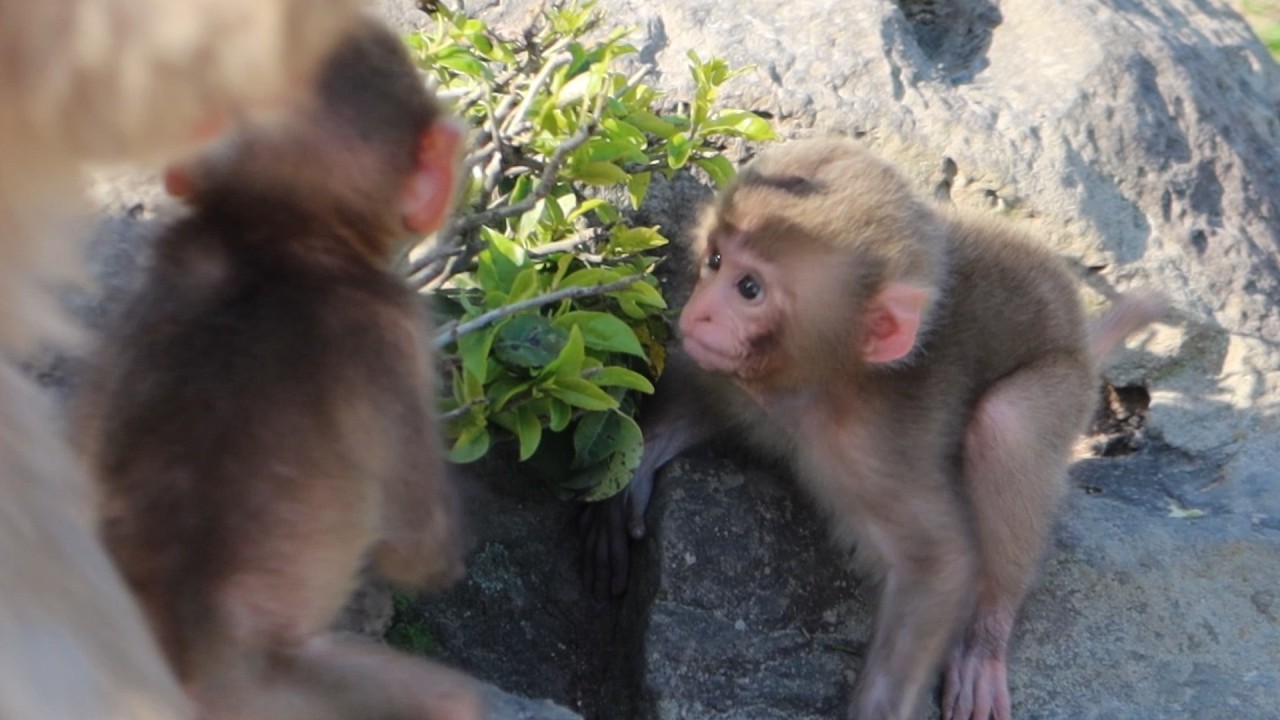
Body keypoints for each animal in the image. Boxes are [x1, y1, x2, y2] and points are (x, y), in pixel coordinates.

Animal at [581, 137, 1166, 720]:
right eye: (716, 260)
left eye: (749, 289)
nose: (699, 313)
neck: (828, 384)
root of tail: (1082, 341)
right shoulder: (745, 380)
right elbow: (702, 393)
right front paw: (628, 475)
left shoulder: (872, 449)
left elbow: (936, 566)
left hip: (1066, 384)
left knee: (1007, 426)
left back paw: (986, 635)